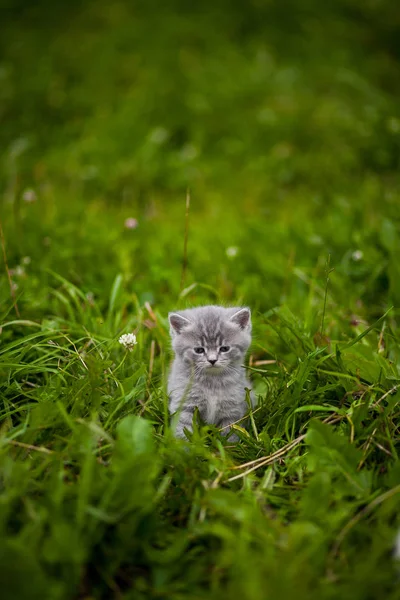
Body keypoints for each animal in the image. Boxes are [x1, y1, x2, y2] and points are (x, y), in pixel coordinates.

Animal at [167, 304, 252, 440]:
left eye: (224, 348)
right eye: (199, 350)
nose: (212, 360)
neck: (212, 382)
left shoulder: (233, 409)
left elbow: (230, 433)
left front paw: (229, 445)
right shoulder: (185, 403)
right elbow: (183, 428)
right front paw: (182, 445)